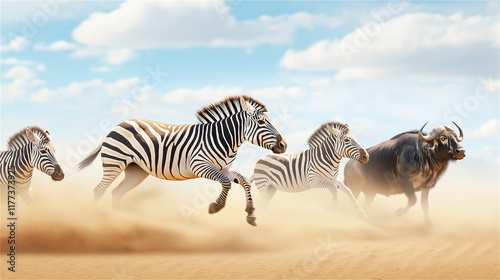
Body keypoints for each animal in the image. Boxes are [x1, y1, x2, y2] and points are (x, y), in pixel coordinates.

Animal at [79, 95, 288, 225]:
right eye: (261, 122)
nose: (283, 145)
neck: (223, 140)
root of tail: (118, 125)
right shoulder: (199, 165)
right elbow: (226, 183)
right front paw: (215, 206)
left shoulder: (225, 169)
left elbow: (244, 181)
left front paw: (251, 213)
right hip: (114, 162)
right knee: (99, 190)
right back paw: (96, 219)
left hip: (136, 171)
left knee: (116, 193)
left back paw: (118, 220)